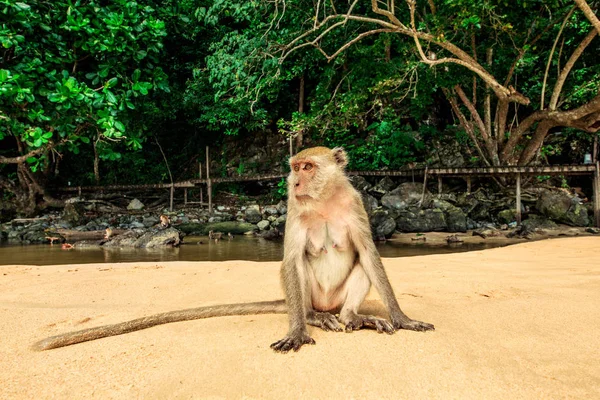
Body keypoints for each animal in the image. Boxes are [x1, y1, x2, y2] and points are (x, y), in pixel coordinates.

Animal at [31, 146, 432, 350]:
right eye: (294, 167)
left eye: (308, 167)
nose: (294, 180)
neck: (322, 201)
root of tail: (326, 307)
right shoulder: (293, 207)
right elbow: (290, 261)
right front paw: (297, 332)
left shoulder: (354, 202)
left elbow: (369, 253)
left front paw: (402, 319)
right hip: (311, 299)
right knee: (296, 272)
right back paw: (312, 319)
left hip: (336, 298)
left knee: (361, 267)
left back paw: (352, 317)